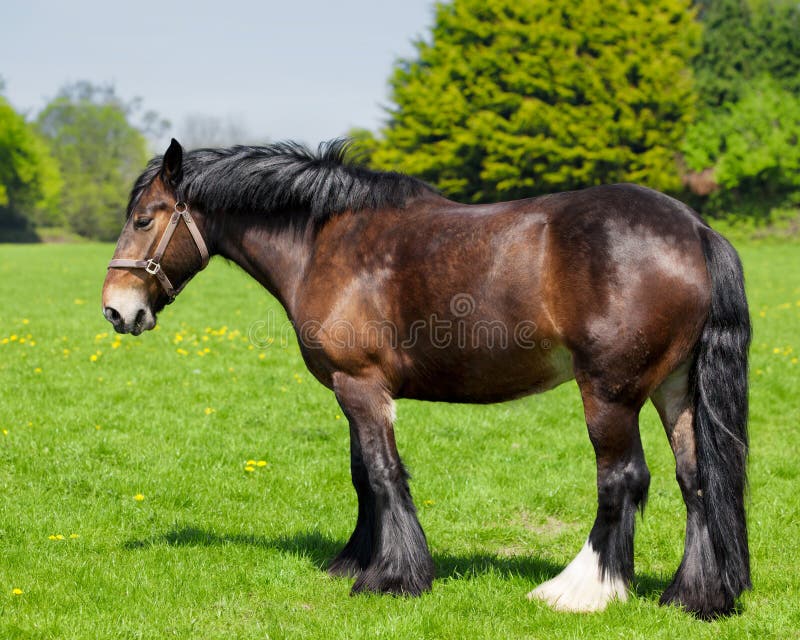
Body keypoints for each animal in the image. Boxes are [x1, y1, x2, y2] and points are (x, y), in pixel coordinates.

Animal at [100, 140, 752, 620]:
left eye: (143, 218)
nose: (116, 309)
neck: (325, 241)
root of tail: (696, 230)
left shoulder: (360, 384)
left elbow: (384, 473)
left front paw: (393, 577)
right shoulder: (352, 389)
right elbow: (363, 475)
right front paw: (356, 561)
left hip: (610, 393)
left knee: (622, 479)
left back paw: (579, 591)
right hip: (674, 389)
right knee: (696, 479)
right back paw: (695, 596)